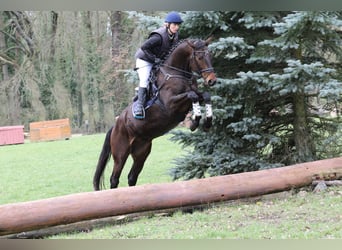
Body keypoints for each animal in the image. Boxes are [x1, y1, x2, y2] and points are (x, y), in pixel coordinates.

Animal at [93, 38, 216, 189]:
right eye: (199, 57)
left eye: (210, 56)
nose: (212, 80)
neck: (176, 72)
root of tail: (116, 125)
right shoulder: (170, 104)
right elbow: (192, 96)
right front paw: (195, 122)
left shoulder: (193, 97)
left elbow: (205, 96)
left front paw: (207, 122)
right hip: (120, 152)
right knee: (114, 178)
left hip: (141, 152)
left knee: (132, 177)